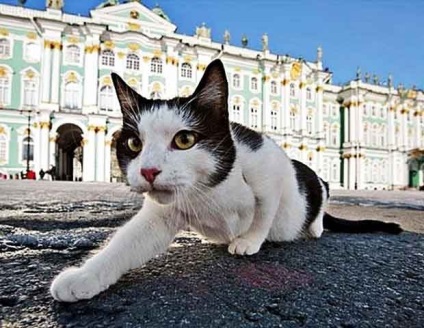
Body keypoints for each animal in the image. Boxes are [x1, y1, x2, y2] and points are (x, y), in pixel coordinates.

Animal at [49, 59, 400, 302]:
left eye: (185, 140)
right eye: (134, 144)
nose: (148, 171)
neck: (208, 190)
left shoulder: (271, 165)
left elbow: (264, 210)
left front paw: (249, 241)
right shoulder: (160, 216)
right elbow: (124, 243)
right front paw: (84, 276)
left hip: (308, 177)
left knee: (322, 192)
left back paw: (314, 227)